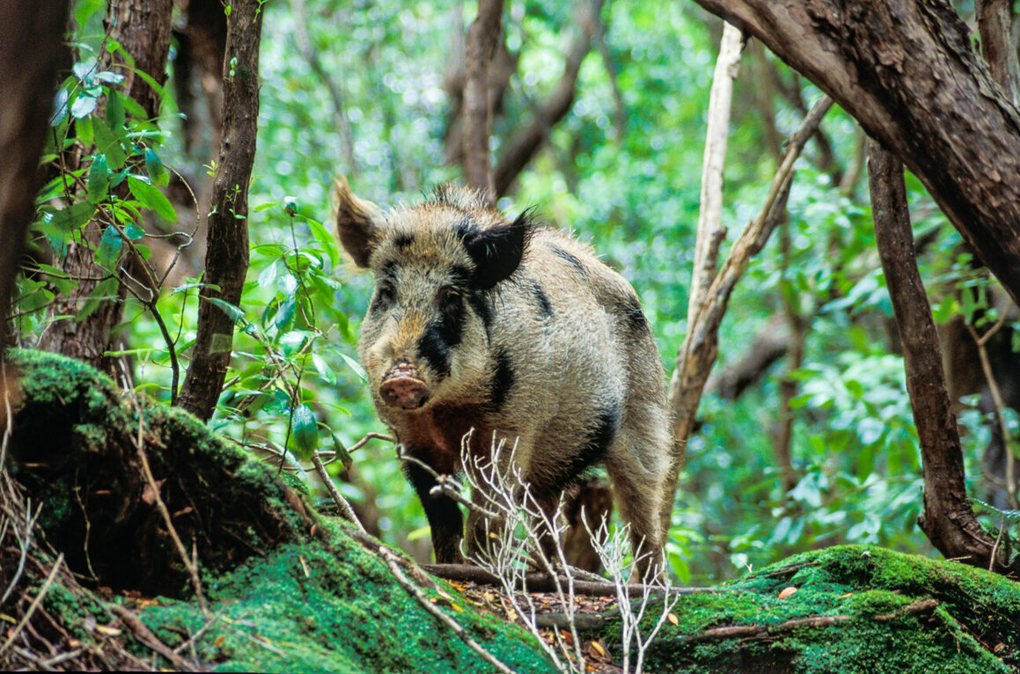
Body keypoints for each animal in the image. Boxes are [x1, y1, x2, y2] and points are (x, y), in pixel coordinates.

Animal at [333, 175, 673, 576]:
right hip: (554, 461)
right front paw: (449, 568)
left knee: (644, 505)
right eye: (386, 292)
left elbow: (488, 516)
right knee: (549, 514)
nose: (402, 376)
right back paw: (550, 572)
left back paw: (646, 584)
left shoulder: (511, 430)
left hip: (646, 411)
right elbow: (442, 518)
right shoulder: (410, 440)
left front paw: (483, 571)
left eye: (451, 295)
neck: (448, 409)